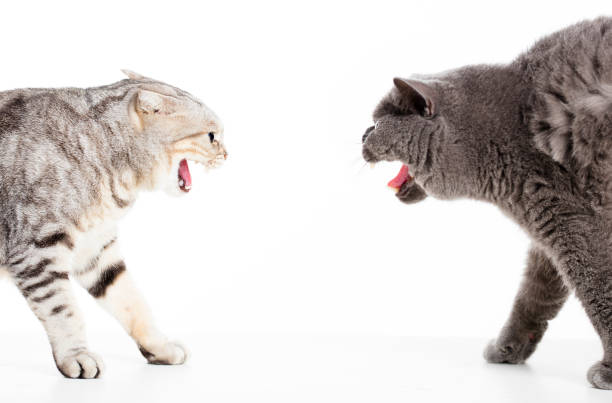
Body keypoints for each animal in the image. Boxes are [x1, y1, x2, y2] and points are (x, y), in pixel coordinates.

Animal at [0, 70, 227, 378]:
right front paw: (77, 355)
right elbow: (64, 310)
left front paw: (159, 346)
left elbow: (132, 301)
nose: (227, 154)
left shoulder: (97, 251)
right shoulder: (37, 249)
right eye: (212, 136)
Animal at [360, 17, 612, 390]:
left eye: (376, 124)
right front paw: (508, 348)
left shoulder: (572, 222)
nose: (362, 135)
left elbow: (597, 289)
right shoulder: (554, 223)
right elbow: (533, 295)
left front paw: (608, 370)